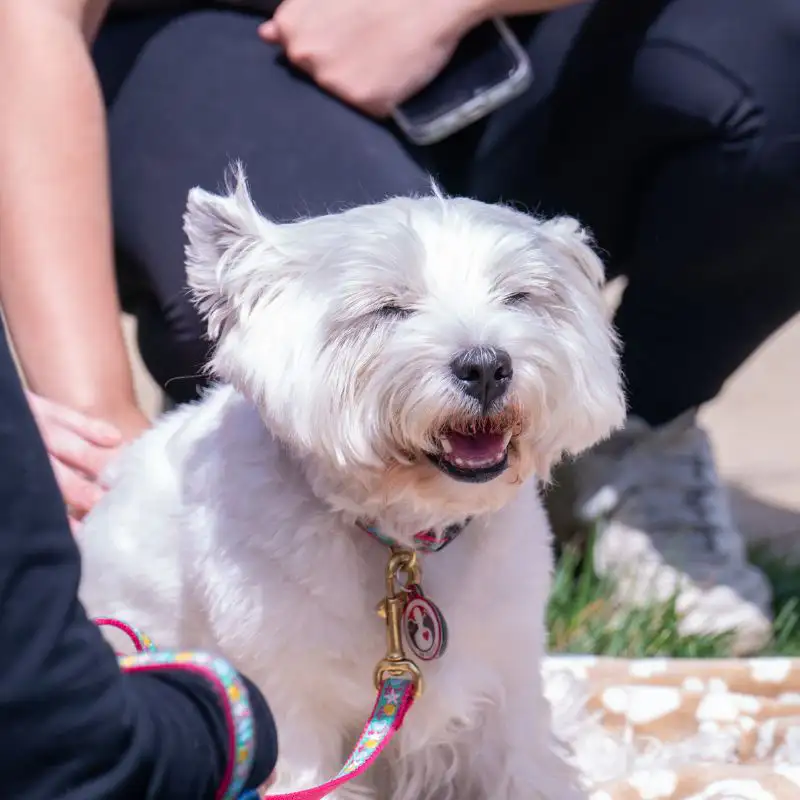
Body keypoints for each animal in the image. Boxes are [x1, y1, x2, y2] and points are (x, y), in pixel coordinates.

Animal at [79, 175, 624, 800]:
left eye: (519, 297)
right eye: (387, 308)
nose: (487, 366)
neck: (405, 536)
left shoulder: (507, 683)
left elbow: (530, 768)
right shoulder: (288, 706)